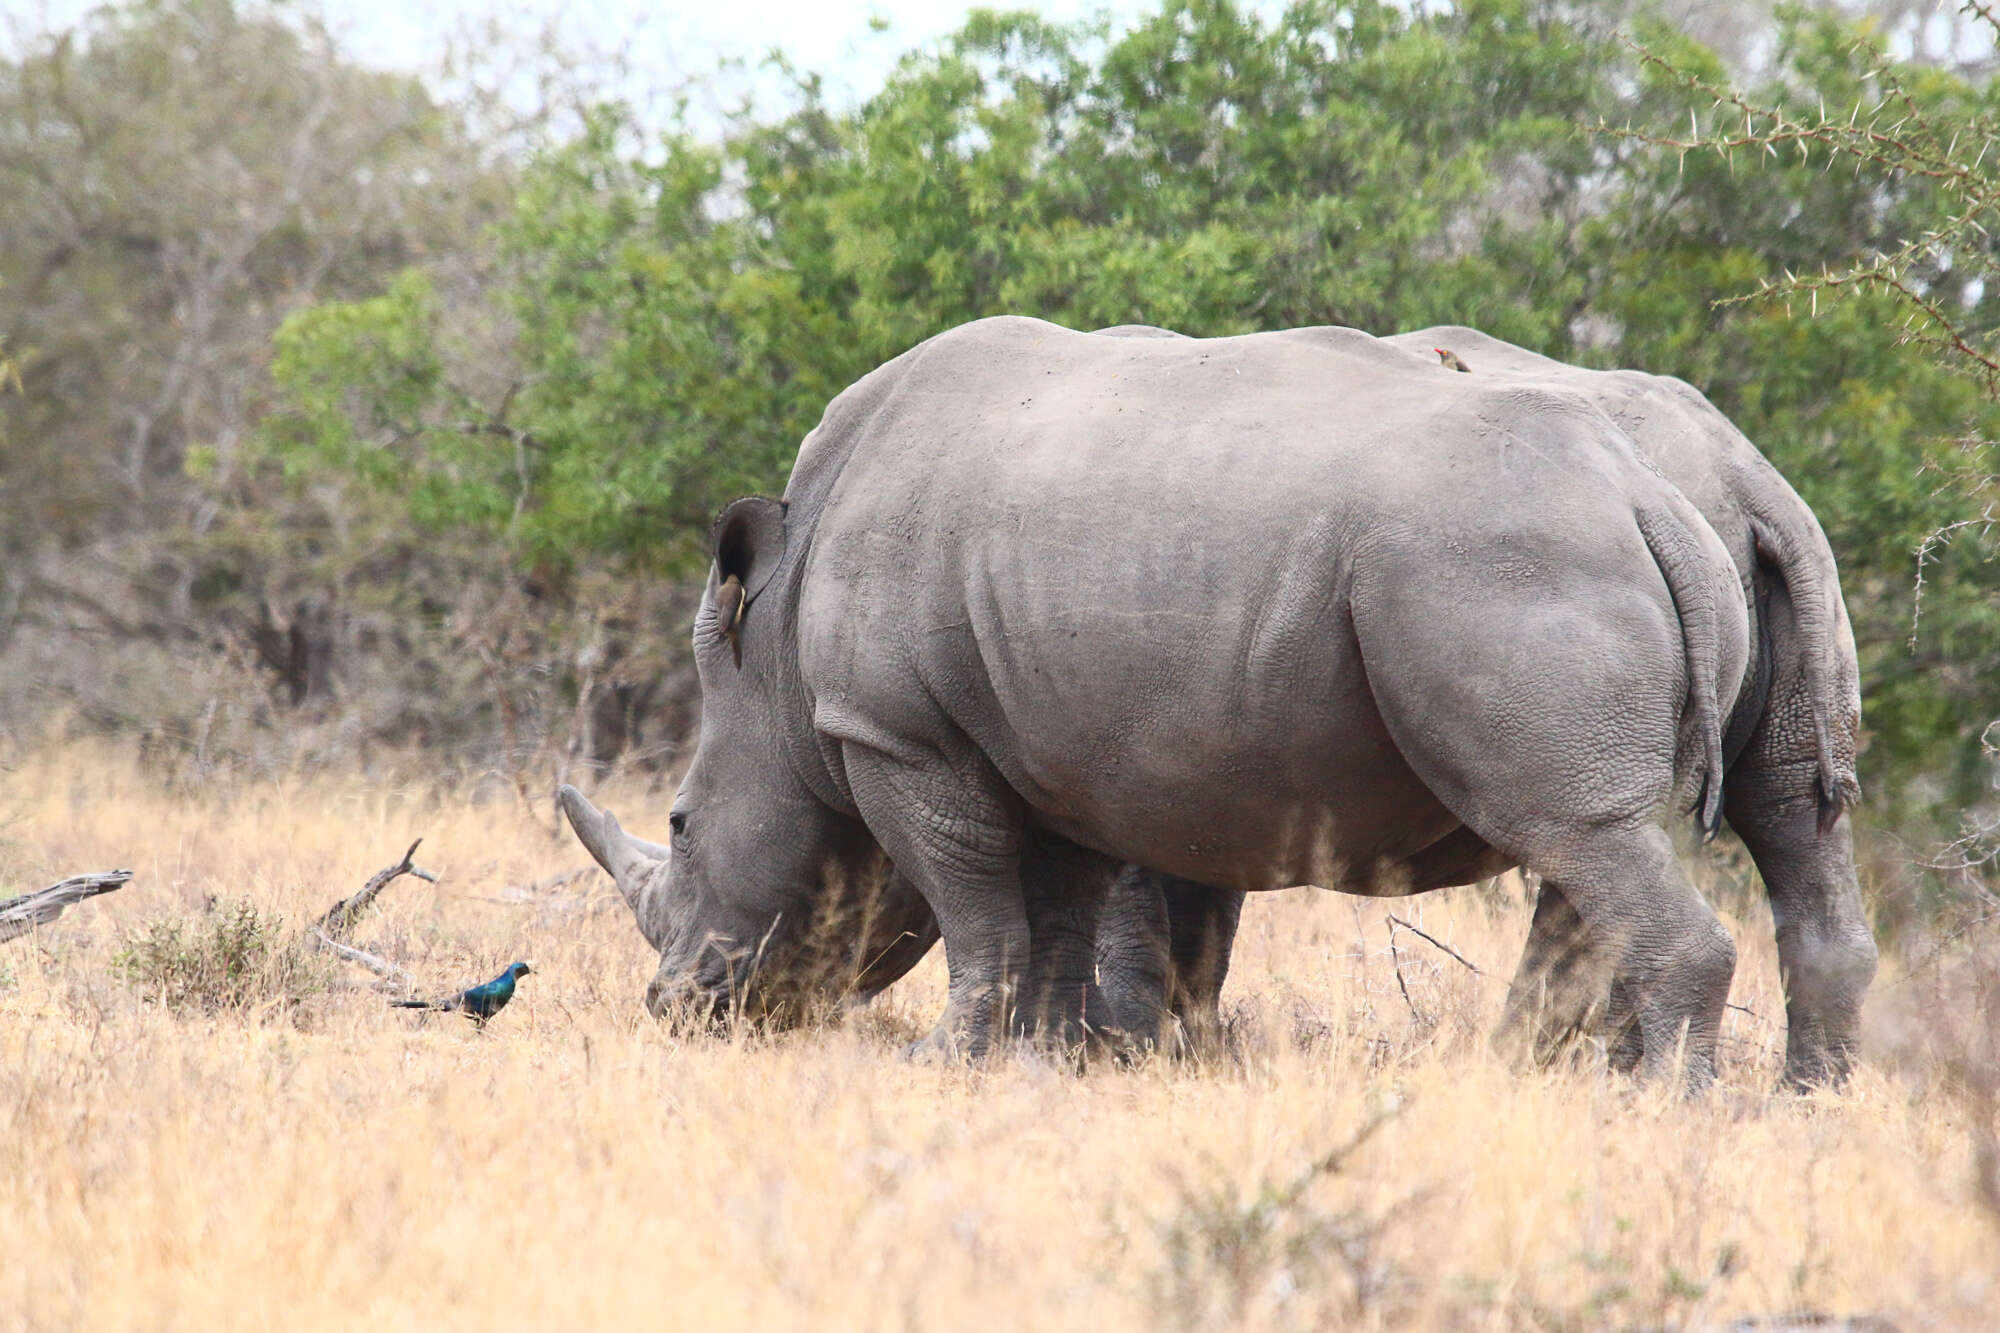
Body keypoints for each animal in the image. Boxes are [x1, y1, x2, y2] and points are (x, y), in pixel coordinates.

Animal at [556, 316, 1760, 1088]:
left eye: (679, 825)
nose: (673, 1010)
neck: (779, 664)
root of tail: (1650, 498)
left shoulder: (896, 735)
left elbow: (971, 900)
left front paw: (942, 1061)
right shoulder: (1045, 738)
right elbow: (1051, 908)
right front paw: (1049, 1059)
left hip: (1501, 564)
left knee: (1572, 829)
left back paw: (1663, 1105)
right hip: (1559, 559)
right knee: (1597, 841)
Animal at [1096, 324, 1872, 1088]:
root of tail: (1747, 478)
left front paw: (1132, 1050)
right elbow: (1198, 904)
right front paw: (1186, 1047)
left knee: (1586, 842)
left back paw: (1535, 1074)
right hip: (1785, 575)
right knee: (1787, 813)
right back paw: (1804, 1097)